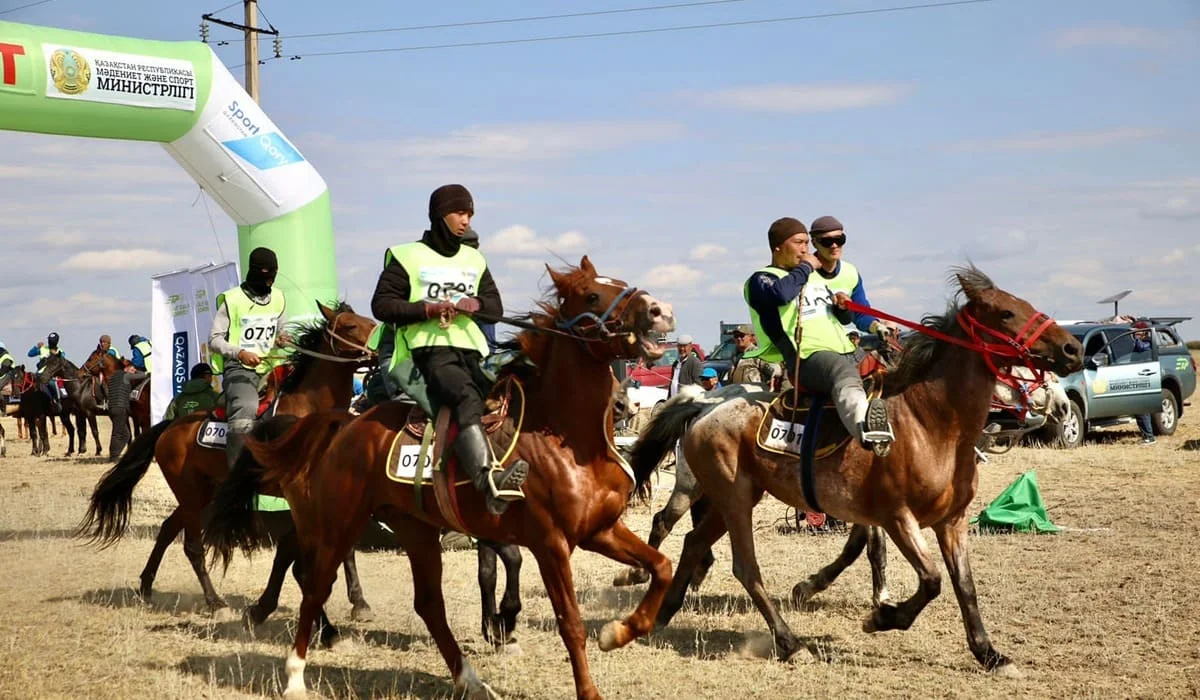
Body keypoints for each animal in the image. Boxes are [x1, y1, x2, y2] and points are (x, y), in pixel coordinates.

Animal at [77, 300, 376, 629]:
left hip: (201, 494)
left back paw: (146, 587)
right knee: (192, 547)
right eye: (350, 326)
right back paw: (215, 603)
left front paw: (359, 602)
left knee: (167, 530)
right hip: (191, 496)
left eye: (368, 320)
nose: (378, 353)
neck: (310, 411)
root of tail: (170, 427)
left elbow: (344, 548)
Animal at [205, 255, 676, 700]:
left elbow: (662, 567)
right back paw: (296, 674)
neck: (563, 435)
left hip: (413, 528)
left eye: (619, 283)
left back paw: (469, 679)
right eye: (593, 295)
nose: (660, 310)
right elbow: (570, 622)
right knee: (314, 585)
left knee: (428, 603)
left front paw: (619, 631)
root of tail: (345, 424)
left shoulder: (599, 529)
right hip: (337, 525)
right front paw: (587, 686)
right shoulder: (551, 543)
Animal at [633, 266, 1084, 672]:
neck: (930, 423)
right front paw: (882, 615)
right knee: (740, 564)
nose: (1073, 350)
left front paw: (989, 654)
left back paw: (662, 613)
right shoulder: (897, 517)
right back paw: (789, 643)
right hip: (731, 497)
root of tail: (704, 405)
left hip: (733, 499)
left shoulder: (951, 522)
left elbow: (964, 587)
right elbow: (930, 580)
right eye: (1006, 312)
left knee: (694, 542)